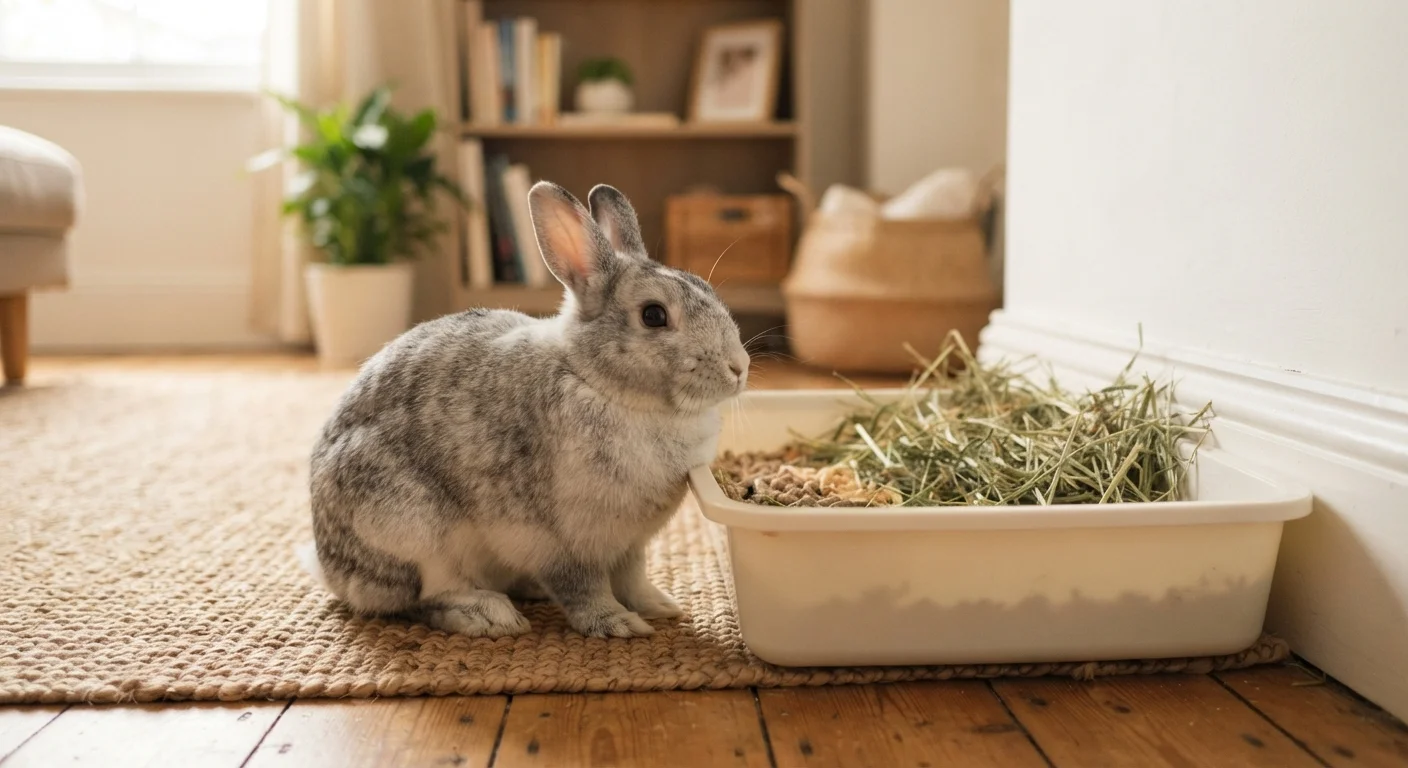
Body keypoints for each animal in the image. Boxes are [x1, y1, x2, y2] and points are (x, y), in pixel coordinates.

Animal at [304, 181, 750, 639]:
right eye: (654, 315)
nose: (740, 367)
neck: (596, 380)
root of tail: (330, 568)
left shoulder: (631, 544)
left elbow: (633, 578)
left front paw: (661, 606)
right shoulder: (563, 541)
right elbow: (584, 589)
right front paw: (618, 624)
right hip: (408, 529)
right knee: (421, 597)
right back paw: (487, 614)